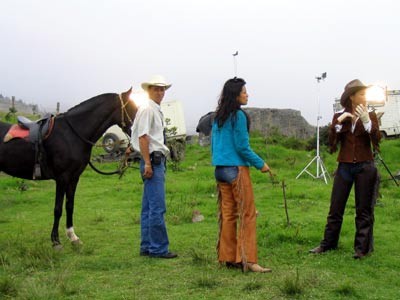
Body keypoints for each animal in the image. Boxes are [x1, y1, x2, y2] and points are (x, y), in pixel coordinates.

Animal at [0, 89, 136, 248]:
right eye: (133, 108)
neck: (72, 135)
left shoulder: (74, 178)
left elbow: (69, 206)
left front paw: (72, 236)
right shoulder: (62, 178)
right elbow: (58, 209)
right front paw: (55, 240)